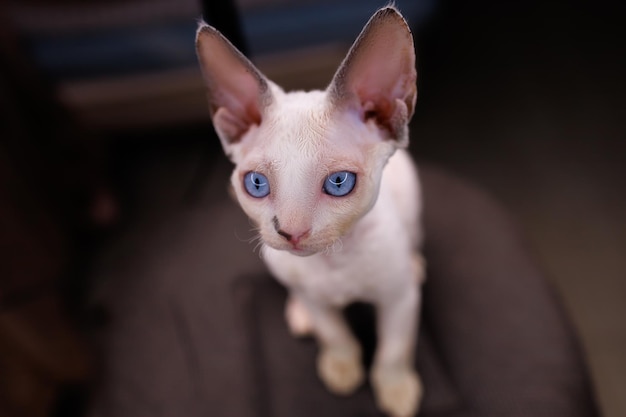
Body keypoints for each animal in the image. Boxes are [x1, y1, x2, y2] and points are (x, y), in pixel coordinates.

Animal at [195, 6, 424, 416]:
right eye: (257, 184)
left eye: (339, 183)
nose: (291, 232)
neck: (333, 262)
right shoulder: (314, 295)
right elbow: (333, 333)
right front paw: (341, 366)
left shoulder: (400, 299)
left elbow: (394, 350)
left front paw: (395, 389)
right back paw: (300, 312)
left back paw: (416, 264)